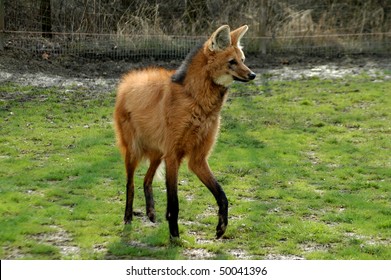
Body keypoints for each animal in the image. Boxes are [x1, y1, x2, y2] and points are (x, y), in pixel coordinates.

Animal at [113, 25, 256, 238]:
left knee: (147, 179)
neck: (198, 101)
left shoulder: (197, 159)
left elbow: (222, 194)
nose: (252, 75)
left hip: (158, 152)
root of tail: (128, 80)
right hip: (135, 151)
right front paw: (174, 236)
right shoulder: (174, 155)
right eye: (232, 62)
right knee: (130, 184)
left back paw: (151, 212)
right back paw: (128, 218)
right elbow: (174, 202)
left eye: (243, 60)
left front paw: (221, 227)